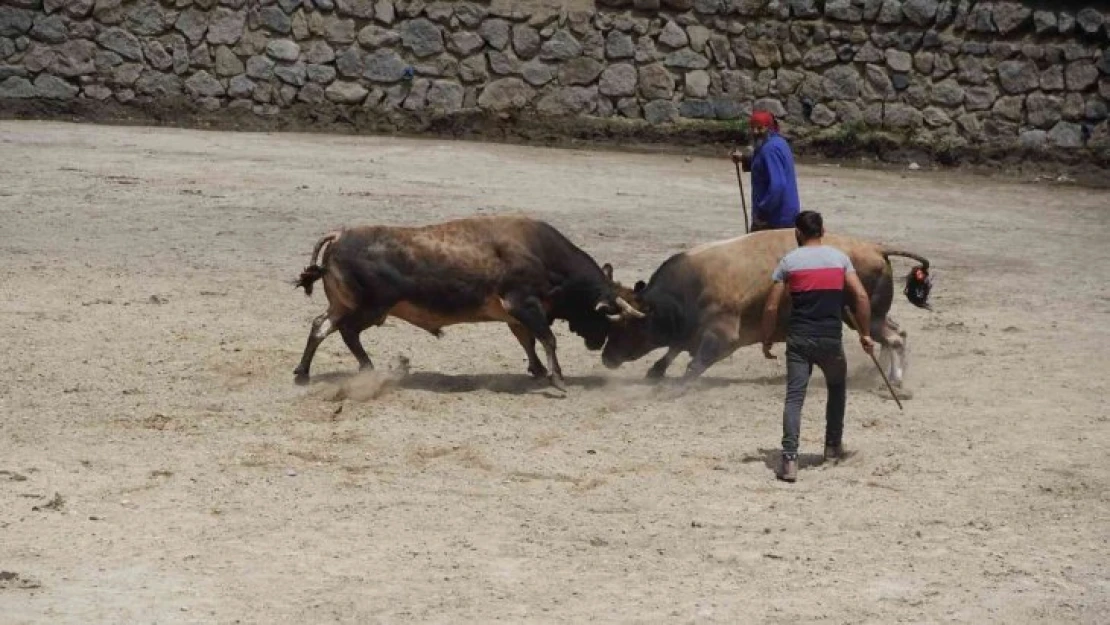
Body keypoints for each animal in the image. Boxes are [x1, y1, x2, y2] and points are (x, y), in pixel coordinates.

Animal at [290, 217, 634, 388]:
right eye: (606, 315)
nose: (597, 343)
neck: (543, 254)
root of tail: (339, 235)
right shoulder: (523, 304)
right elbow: (547, 338)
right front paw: (558, 378)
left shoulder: (515, 314)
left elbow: (528, 341)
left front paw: (537, 370)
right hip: (371, 308)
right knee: (346, 332)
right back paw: (368, 369)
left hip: (343, 304)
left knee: (320, 326)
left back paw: (303, 372)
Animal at [599, 229, 927, 386]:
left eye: (627, 325)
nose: (605, 358)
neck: (690, 286)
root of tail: (876, 248)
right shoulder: (690, 331)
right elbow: (673, 349)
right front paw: (656, 371)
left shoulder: (723, 335)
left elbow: (694, 362)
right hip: (874, 315)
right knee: (897, 333)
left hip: (864, 315)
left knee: (894, 339)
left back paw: (896, 380)